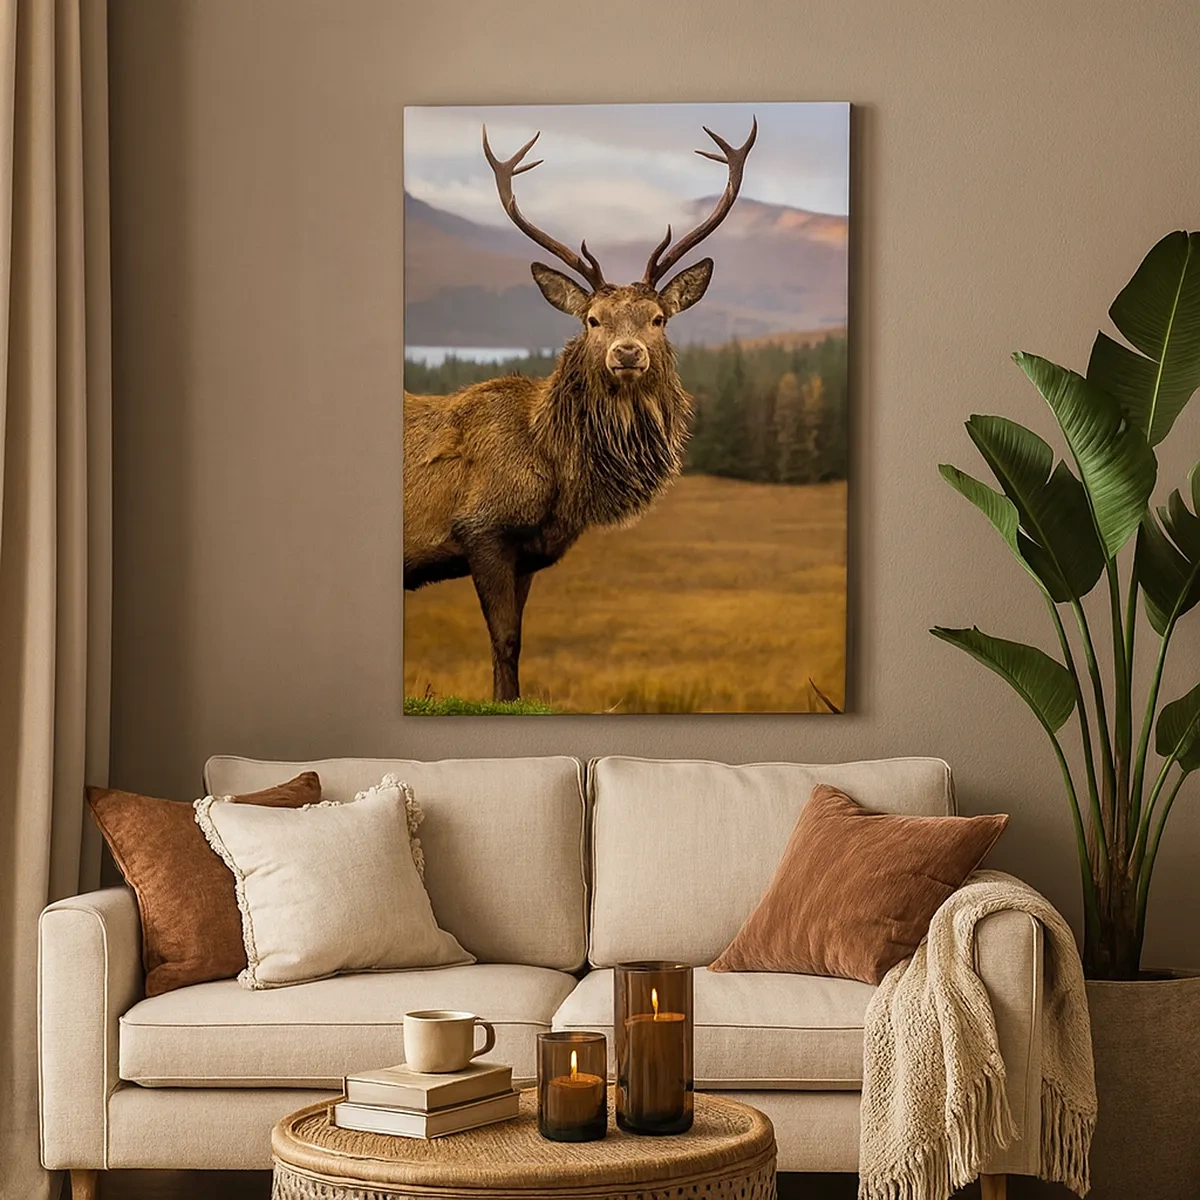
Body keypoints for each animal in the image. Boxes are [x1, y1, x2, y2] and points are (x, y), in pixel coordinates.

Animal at [403, 118, 757, 702]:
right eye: (593, 319)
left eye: (658, 318)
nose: (627, 353)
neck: (557, 470)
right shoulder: (481, 527)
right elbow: (504, 639)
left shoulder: (526, 550)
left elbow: (514, 644)